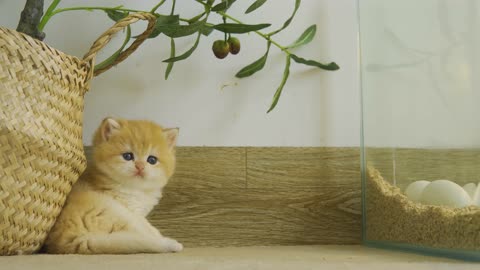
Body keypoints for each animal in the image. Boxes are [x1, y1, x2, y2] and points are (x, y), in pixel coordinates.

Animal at [44, 117, 183, 253]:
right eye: (127, 156)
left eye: (152, 160)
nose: (140, 167)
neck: (134, 189)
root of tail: (68, 242)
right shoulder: (132, 212)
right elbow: (147, 227)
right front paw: (159, 236)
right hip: (115, 210)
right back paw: (170, 243)